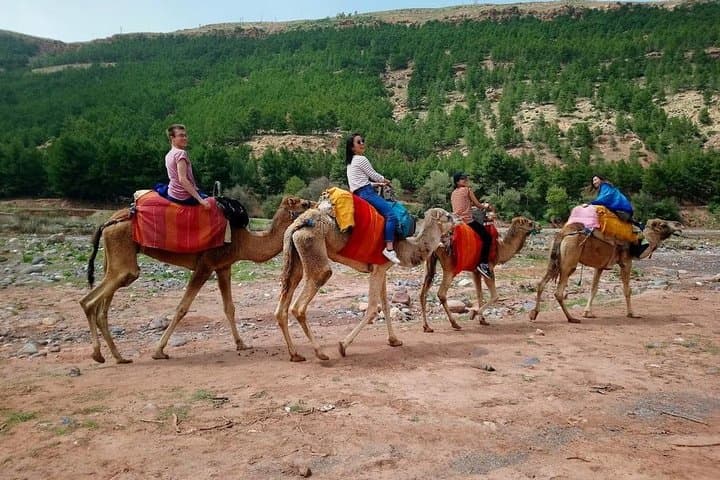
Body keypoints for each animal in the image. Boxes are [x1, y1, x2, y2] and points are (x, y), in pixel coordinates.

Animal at [79, 196, 314, 364]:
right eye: (303, 203)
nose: (315, 205)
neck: (243, 241)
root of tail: (108, 222)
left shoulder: (224, 266)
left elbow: (229, 307)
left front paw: (241, 344)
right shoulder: (206, 265)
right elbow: (182, 308)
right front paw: (159, 351)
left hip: (114, 259)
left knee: (103, 306)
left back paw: (118, 357)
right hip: (124, 261)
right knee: (89, 301)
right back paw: (99, 354)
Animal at [274, 204, 458, 362]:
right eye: (448, 216)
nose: (459, 219)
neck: (404, 248)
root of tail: (298, 224)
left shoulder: (381, 269)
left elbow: (385, 305)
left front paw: (394, 340)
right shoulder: (378, 268)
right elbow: (372, 309)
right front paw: (342, 346)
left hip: (294, 256)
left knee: (283, 304)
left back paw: (295, 355)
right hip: (312, 246)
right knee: (301, 303)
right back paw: (320, 353)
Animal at [528, 218, 683, 323]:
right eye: (663, 224)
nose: (679, 225)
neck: (637, 244)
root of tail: (563, 233)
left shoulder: (600, 266)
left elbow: (594, 288)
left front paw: (588, 313)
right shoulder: (626, 262)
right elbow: (627, 290)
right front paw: (632, 314)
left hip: (553, 259)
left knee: (541, 283)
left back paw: (534, 314)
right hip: (569, 260)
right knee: (559, 291)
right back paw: (572, 318)